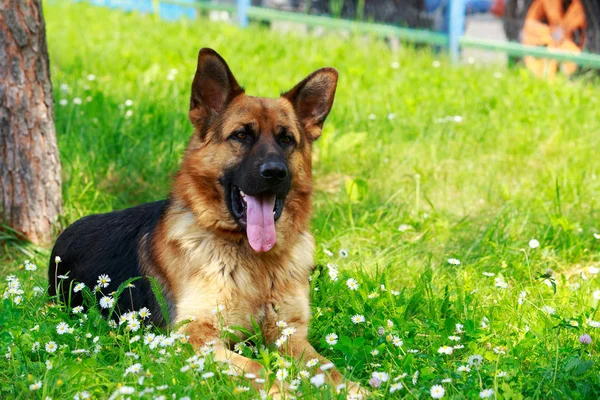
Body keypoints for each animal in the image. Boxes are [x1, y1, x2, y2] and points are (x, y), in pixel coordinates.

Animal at [49, 48, 360, 396]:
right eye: (242, 135)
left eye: (286, 140)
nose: (275, 172)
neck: (253, 261)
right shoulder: (195, 336)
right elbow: (258, 368)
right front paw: (281, 390)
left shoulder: (289, 335)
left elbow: (328, 368)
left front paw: (356, 388)